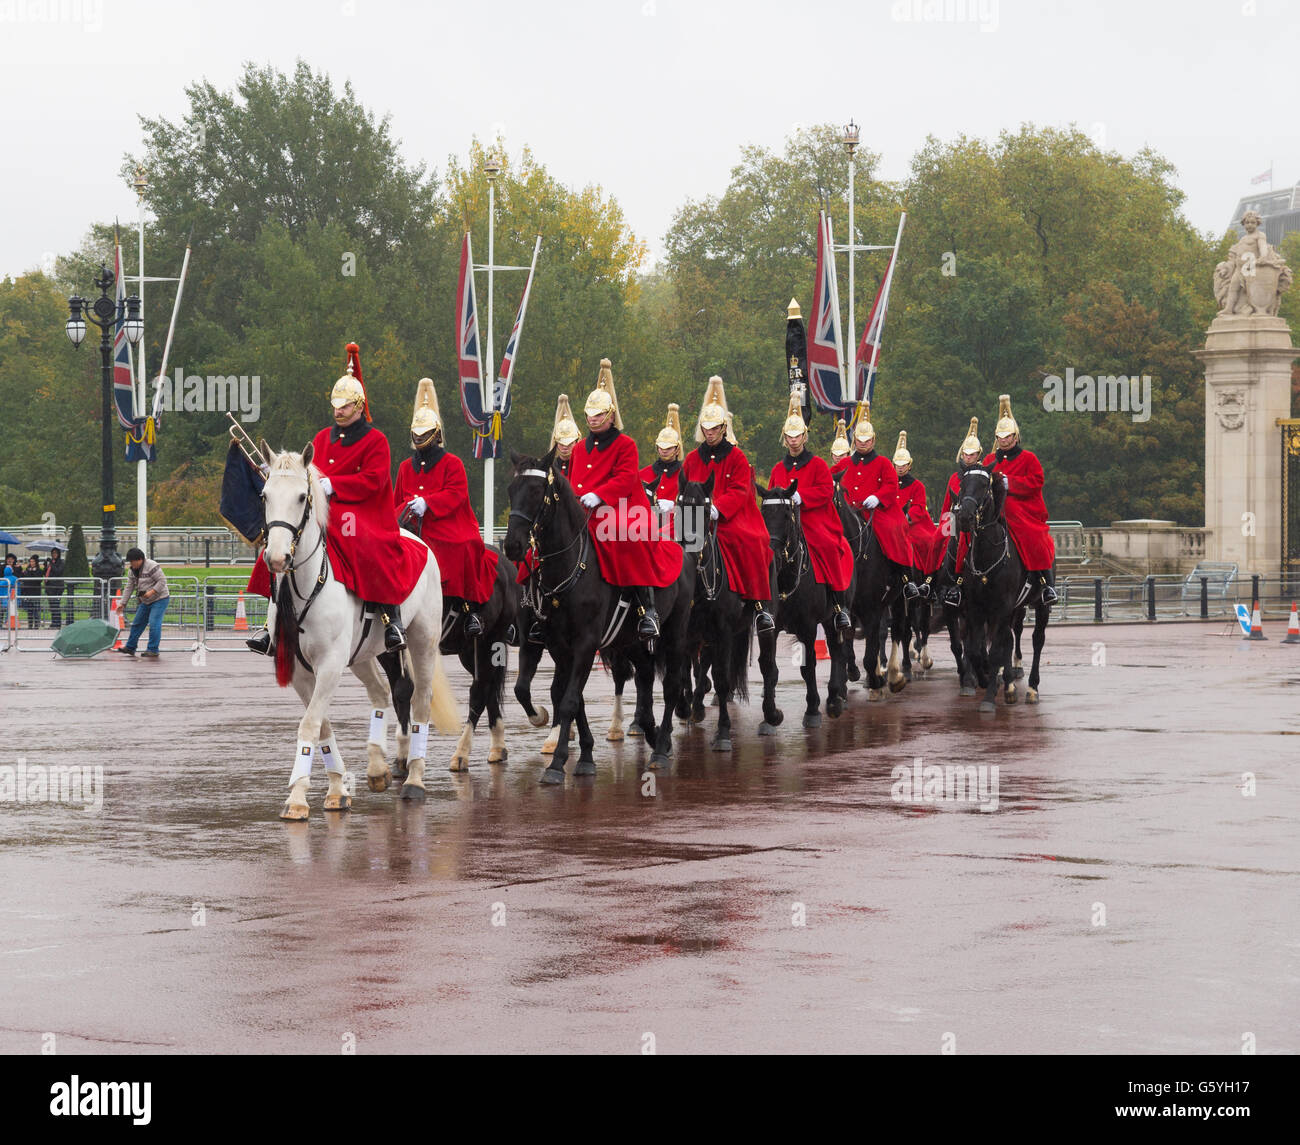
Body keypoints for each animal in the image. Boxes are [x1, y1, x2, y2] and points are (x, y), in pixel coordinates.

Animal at [260, 441, 462, 816]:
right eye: (265, 495)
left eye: (301, 497)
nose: (277, 558)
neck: (306, 586)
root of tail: (414, 537)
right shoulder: (300, 671)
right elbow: (321, 725)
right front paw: (335, 788)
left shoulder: (329, 665)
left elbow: (310, 724)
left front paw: (297, 797)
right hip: (364, 654)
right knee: (381, 692)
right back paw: (378, 767)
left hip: (422, 642)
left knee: (421, 700)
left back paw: (414, 779)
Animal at [501, 452, 696, 779]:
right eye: (511, 489)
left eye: (538, 491)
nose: (512, 545)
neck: (568, 568)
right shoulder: (557, 647)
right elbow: (562, 697)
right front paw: (583, 754)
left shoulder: (585, 643)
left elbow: (568, 700)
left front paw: (558, 764)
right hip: (630, 642)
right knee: (644, 677)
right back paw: (652, 733)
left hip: (676, 634)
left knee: (671, 686)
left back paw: (659, 750)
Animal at [754, 480, 852, 727]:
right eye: (763, 513)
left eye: (786, 514)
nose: (770, 555)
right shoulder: (768, 628)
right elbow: (767, 666)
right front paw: (771, 714)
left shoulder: (808, 626)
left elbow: (809, 666)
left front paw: (813, 709)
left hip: (832, 617)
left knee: (836, 649)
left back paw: (834, 699)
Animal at [951, 465, 1050, 707]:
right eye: (962, 484)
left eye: (984, 486)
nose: (965, 516)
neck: (988, 554)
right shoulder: (976, 607)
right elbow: (976, 650)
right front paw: (985, 680)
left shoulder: (1002, 606)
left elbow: (995, 650)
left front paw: (988, 697)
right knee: (1009, 638)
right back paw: (1009, 685)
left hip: (1040, 605)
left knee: (1037, 640)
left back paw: (1032, 687)